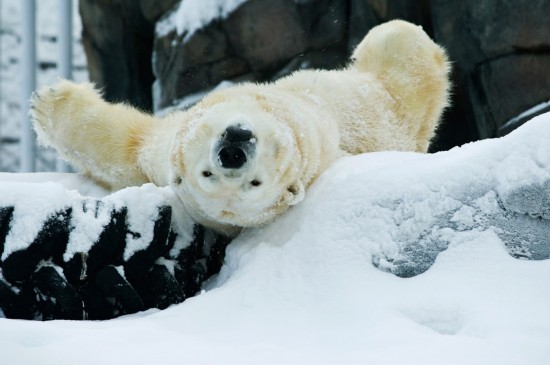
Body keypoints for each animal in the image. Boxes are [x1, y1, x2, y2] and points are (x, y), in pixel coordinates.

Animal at [32, 20, 450, 236]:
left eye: (255, 182)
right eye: (207, 175)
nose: (232, 151)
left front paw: (45, 99)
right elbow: (126, 149)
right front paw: (46, 101)